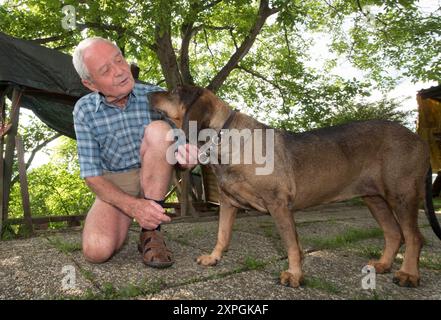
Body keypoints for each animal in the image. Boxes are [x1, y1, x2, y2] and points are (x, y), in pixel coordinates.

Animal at [150, 85, 440, 288]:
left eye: (176, 91)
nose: (150, 93)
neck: (227, 137)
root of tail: (420, 140)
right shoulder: (228, 203)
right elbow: (222, 235)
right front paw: (214, 257)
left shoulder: (279, 204)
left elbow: (291, 243)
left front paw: (295, 274)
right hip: (374, 198)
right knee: (394, 233)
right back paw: (383, 265)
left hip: (401, 195)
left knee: (414, 236)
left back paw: (408, 274)